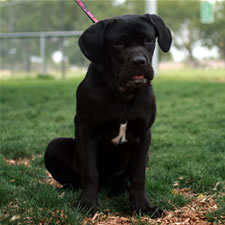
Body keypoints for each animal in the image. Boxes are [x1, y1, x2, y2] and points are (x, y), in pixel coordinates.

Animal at [44, 13, 172, 217]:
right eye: (118, 42)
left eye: (148, 39)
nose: (139, 61)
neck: (123, 93)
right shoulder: (86, 129)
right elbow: (90, 173)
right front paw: (86, 204)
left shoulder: (144, 134)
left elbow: (139, 176)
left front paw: (143, 207)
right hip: (54, 146)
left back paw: (120, 190)